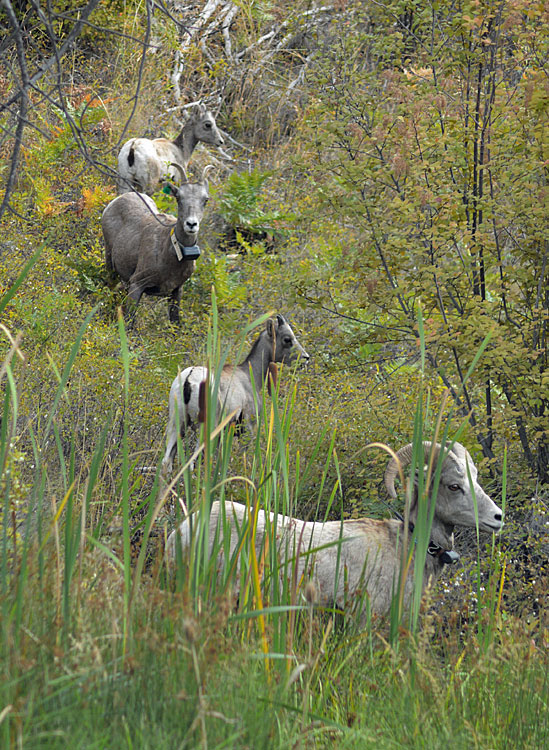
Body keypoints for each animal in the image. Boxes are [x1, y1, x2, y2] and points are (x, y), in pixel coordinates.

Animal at [162, 314, 308, 472]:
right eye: (287, 339)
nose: (305, 358)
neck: (251, 376)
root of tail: (189, 379)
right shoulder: (248, 428)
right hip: (204, 429)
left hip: (177, 424)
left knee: (167, 461)